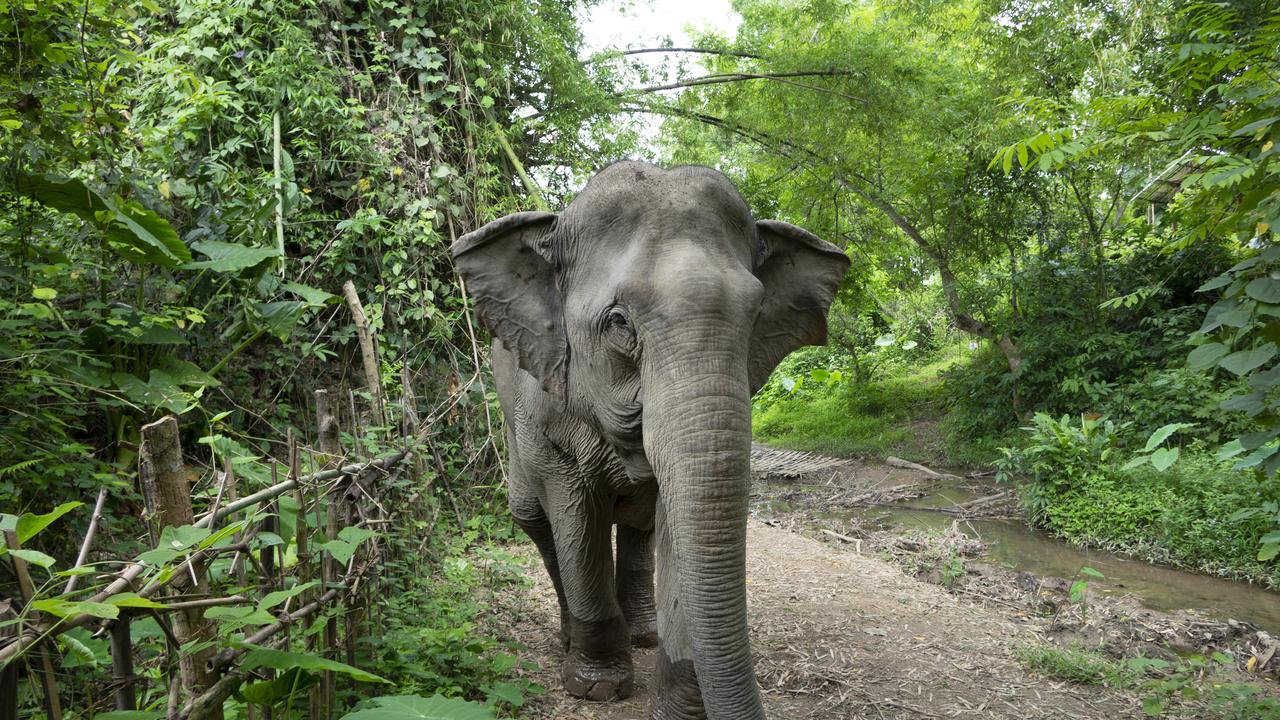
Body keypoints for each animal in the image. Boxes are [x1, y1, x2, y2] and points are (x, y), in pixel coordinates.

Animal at [451, 161, 848, 720]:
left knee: (638, 526)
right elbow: (576, 522)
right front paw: (595, 688)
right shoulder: (546, 411)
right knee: (533, 517)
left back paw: (643, 635)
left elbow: (676, 522)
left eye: (755, 316)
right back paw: (569, 638)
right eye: (619, 322)